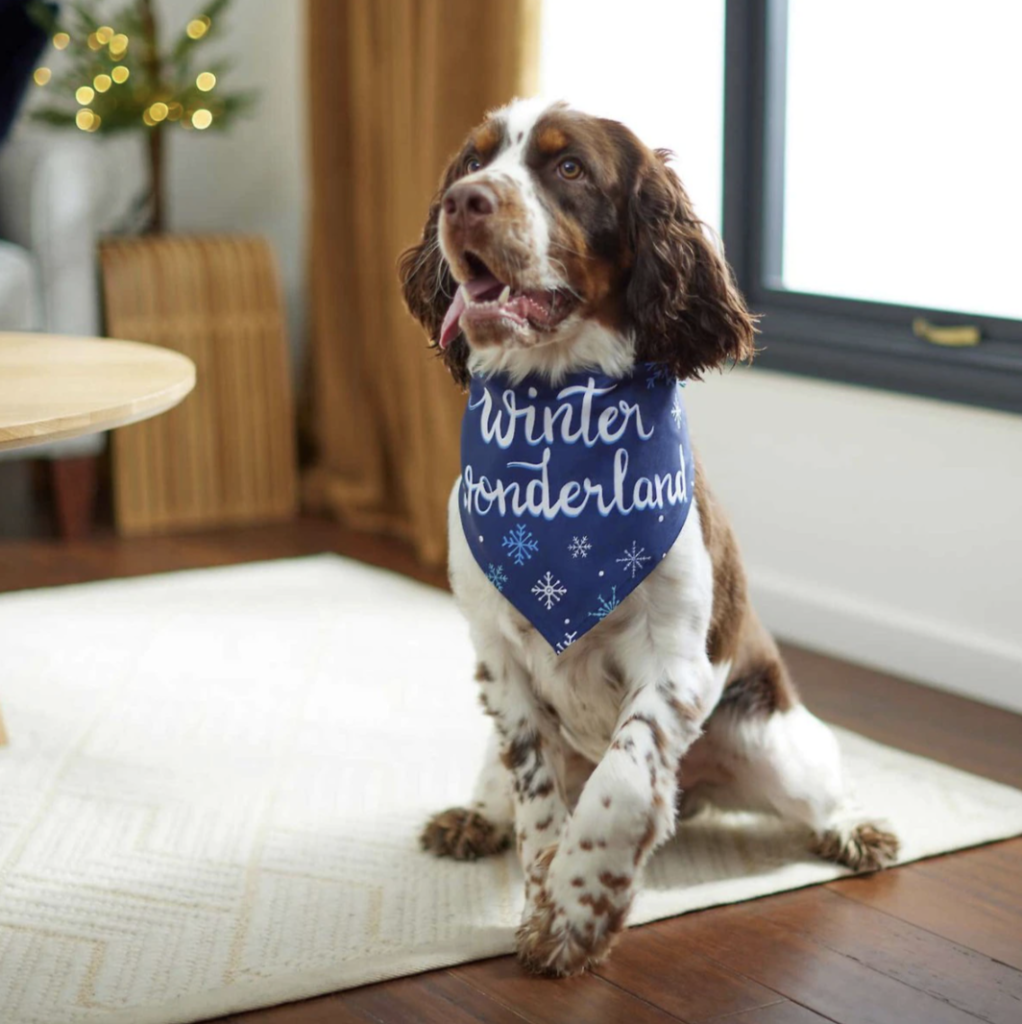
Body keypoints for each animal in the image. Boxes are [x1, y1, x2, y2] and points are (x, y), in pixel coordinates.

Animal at [401, 99, 905, 978]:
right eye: (472, 160)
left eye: (569, 168)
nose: (465, 202)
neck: (558, 414)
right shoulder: (498, 661)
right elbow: (538, 798)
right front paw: (549, 895)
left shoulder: (674, 661)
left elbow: (626, 780)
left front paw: (579, 912)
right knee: (499, 783)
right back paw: (472, 819)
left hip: (775, 741)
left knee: (818, 791)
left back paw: (854, 829)